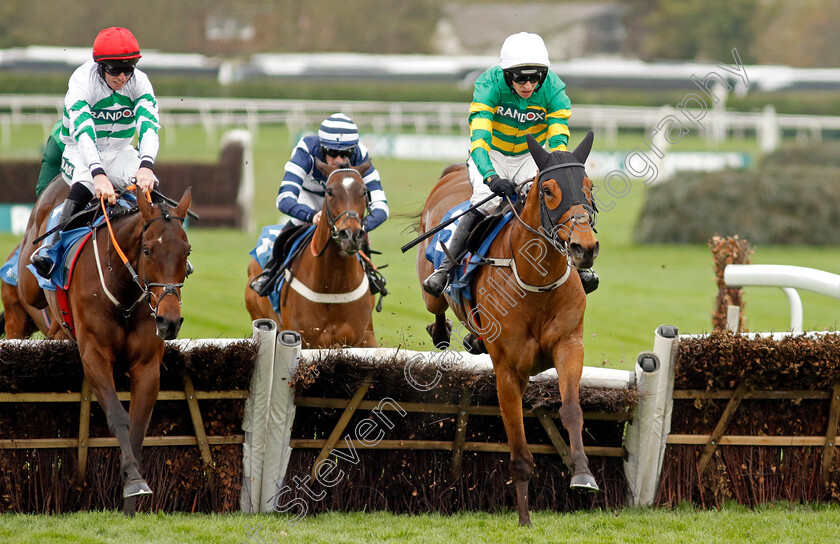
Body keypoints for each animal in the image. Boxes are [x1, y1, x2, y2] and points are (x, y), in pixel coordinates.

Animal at [13, 178, 192, 516]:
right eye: (147, 250)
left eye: (187, 251)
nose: (169, 321)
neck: (122, 292)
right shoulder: (94, 356)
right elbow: (118, 416)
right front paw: (133, 480)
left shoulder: (147, 365)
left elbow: (138, 424)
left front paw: (132, 496)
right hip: (27, 284)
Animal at [246, 160, 378, 348]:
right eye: (329, 191)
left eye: (364, 192)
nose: (350, 235)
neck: (332, 286)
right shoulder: (305, 339)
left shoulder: (365, 339)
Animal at [416, 131, 600, 524]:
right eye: (548, 190)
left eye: (589, 186)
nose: (585, 248)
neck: (535, 280)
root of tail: (453, 174)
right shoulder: (507, 369)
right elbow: (516, 439)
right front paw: (525, 518)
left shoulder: (568, 345)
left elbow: (572, 410)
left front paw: (582, 474)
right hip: (431, 291)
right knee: (437, 308)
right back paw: (444, 327)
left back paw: (471, 337)